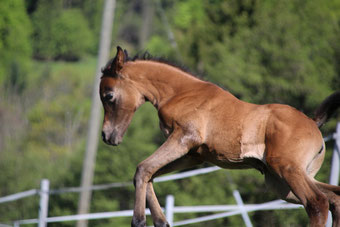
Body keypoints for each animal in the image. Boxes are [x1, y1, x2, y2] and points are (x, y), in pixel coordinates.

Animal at [99, 46, 340, 227]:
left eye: (108, 95)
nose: (107, 136)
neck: (181, 93)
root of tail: (313, 123)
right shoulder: (193, 155)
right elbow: (150, 173)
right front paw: (161, 222)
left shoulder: (184, 138)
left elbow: (143, 169)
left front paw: (139, 221)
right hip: (282, 182)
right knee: (334, 198)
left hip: (287, 170)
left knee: (317, 203)